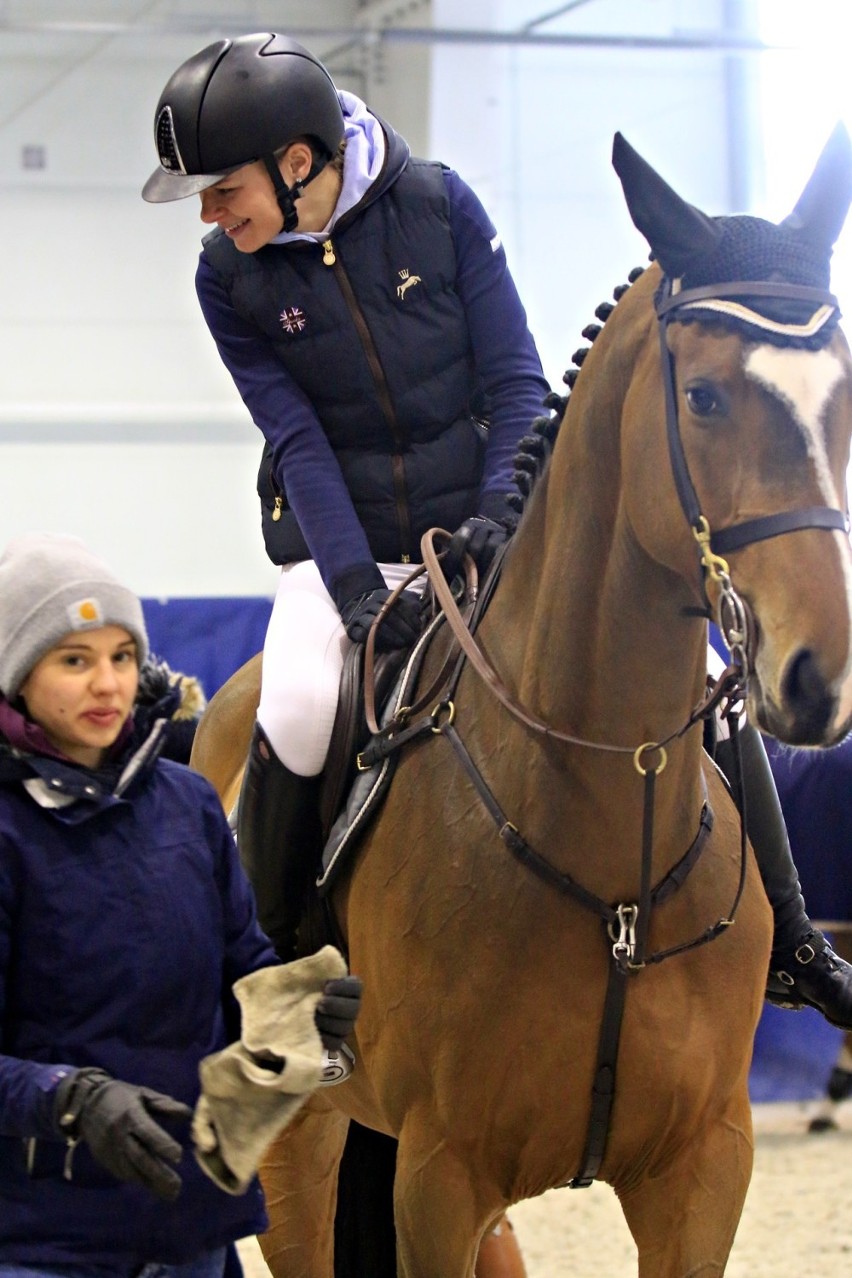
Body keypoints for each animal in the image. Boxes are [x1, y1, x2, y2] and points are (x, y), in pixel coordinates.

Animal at [191, 124, 852, 1272]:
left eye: (845, 392)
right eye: (703, 397)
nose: (818, 675)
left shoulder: (703, 1169)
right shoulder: (442, 1175)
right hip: (302, 1138)